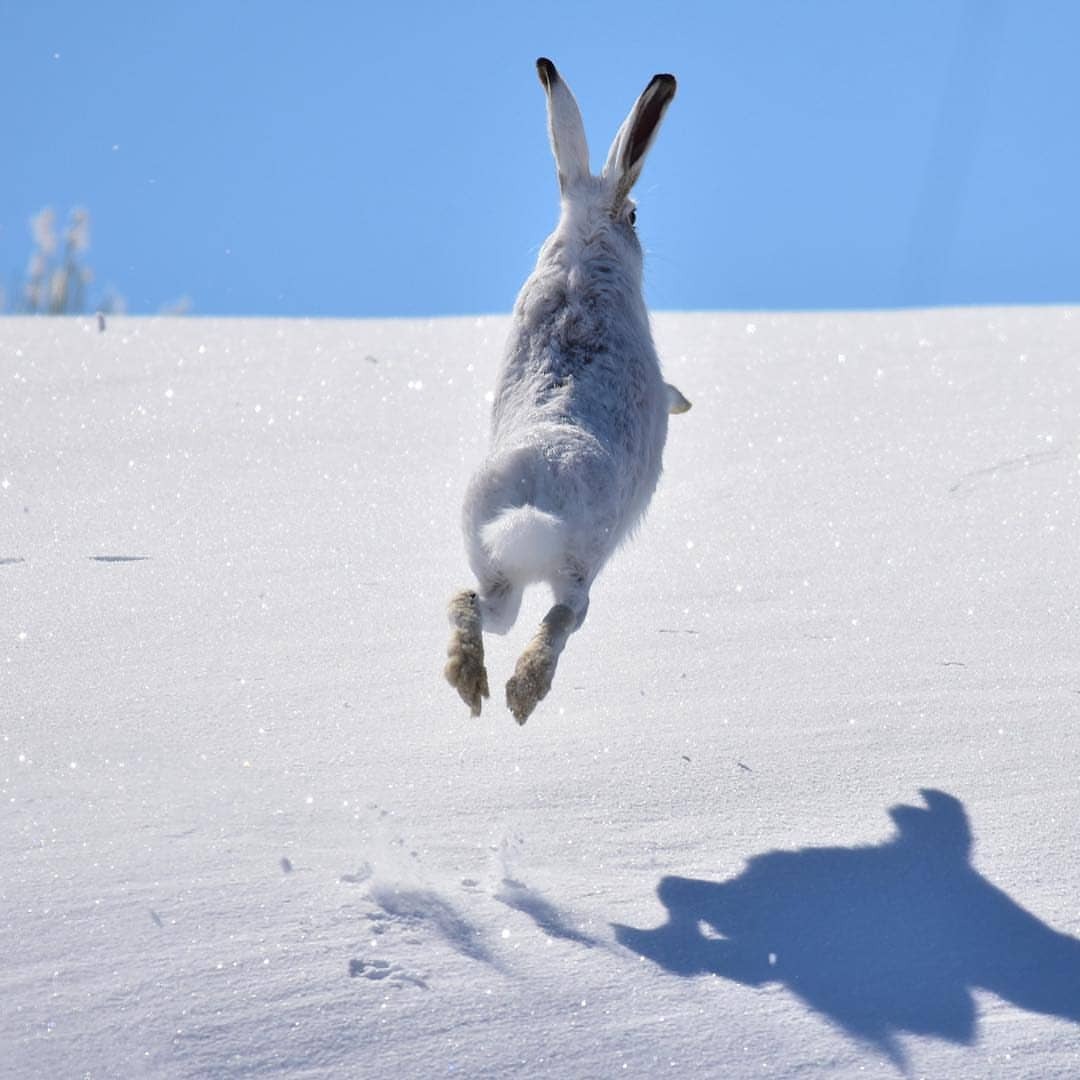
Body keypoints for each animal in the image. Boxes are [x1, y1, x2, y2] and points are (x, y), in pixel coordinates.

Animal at [445, 57, 688, 725]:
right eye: (634, 216)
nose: (636, 224)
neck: (583, 246)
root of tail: (537, 497)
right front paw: (682, 401)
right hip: (582, 564)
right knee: (561, 618)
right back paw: (524, 690)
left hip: (488, 555)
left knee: (473, 603)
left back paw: (468, 678)